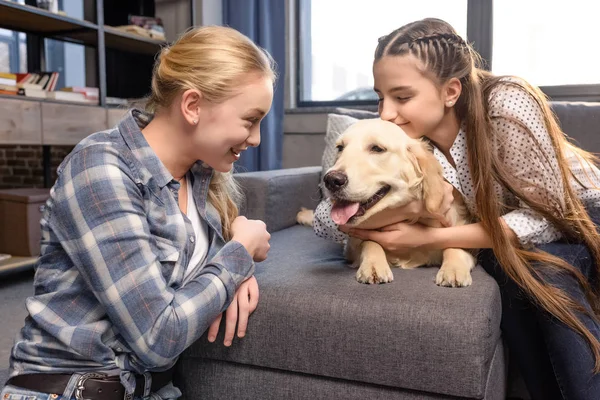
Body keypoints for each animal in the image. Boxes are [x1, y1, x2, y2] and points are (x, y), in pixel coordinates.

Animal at [298, 119, 476, 288]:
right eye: (340, 147)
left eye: (377, 148)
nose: (331, 180)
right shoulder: (352, 247)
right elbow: (370, 242)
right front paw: (373, 265)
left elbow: (454, 245)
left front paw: (453, 269)